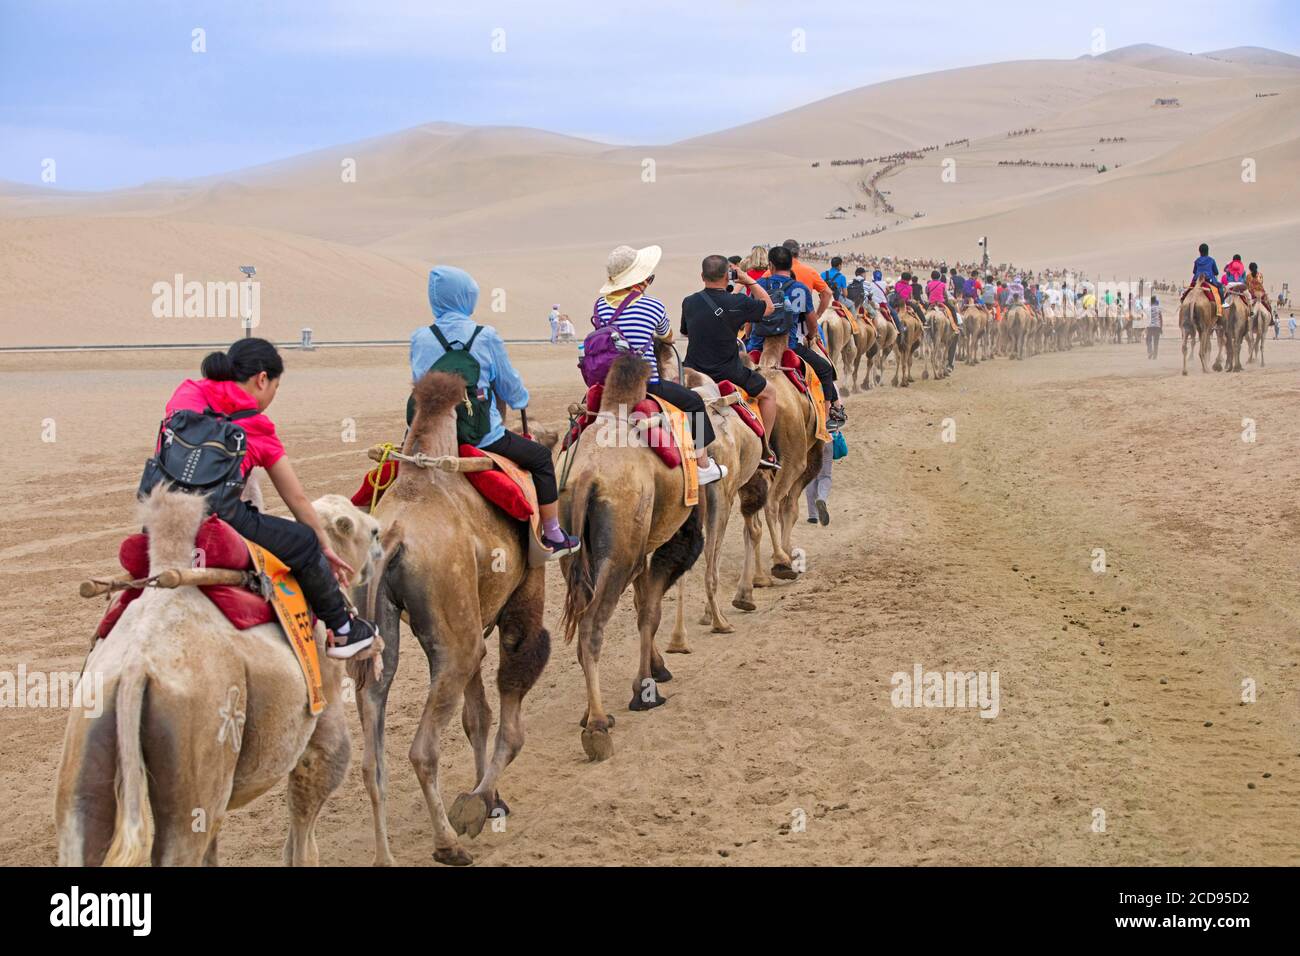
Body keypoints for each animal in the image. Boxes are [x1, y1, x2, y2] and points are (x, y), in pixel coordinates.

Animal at [58, 486, 382, 868]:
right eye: (372, 533)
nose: (379, 542)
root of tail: (135, 671)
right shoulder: (324, 694)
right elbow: (314, 784)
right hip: (199, 743)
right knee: (183, 842)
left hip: (88, 734)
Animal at [361, 371, 553, 868]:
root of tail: (394, 537)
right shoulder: (526, 591)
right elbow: (511, 697)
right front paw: (480, 803)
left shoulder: (472, 615)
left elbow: (477, 717)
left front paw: (492, 797)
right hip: (455, 637)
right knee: (422, 750)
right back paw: (448, 843)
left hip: (385, 635)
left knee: (373, 755)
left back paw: (385, 856)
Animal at [556, 351, 702, 764]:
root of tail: (585, 478)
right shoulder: (671, 538)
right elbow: (650, 609)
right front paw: (645, 689)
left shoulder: (641, 545)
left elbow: (642, 604)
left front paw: (657, 670)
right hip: (619, 548)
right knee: (592, 624)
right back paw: (597, 727)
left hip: (574, 544)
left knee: (584, 615)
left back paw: (592, 714)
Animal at [733, 335, 821, 613]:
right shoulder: (808, 458)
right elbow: (789, 509)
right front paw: (787, 553)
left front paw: (759, 578)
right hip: (794, 458)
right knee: (772, 504)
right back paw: (782, 562)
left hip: (750, 467)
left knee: (751, 520)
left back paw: (747, 590)